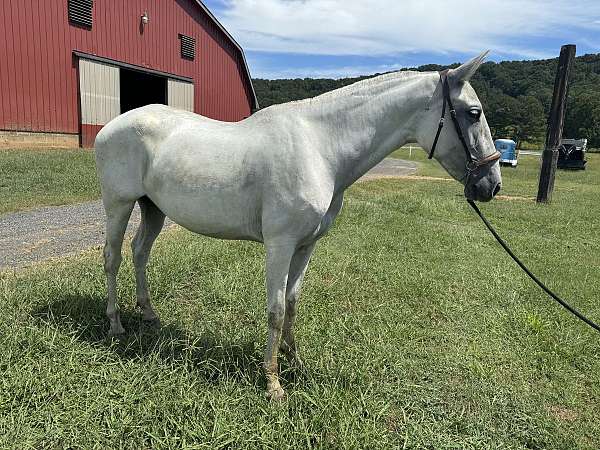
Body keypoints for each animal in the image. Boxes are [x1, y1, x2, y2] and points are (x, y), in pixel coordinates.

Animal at [95, 51, 502, 400]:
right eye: (473, 113)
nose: (491, 184)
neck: (320, 147)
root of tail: (109, 126)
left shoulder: (306, 245)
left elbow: (292, 303)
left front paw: (295, 362)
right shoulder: (281, 244)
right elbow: (275, 310)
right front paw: (273, 383)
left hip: (153, 209)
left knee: (140, 252)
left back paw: (149, 313)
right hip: (119, 205)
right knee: (113, 258)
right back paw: (115, 324)